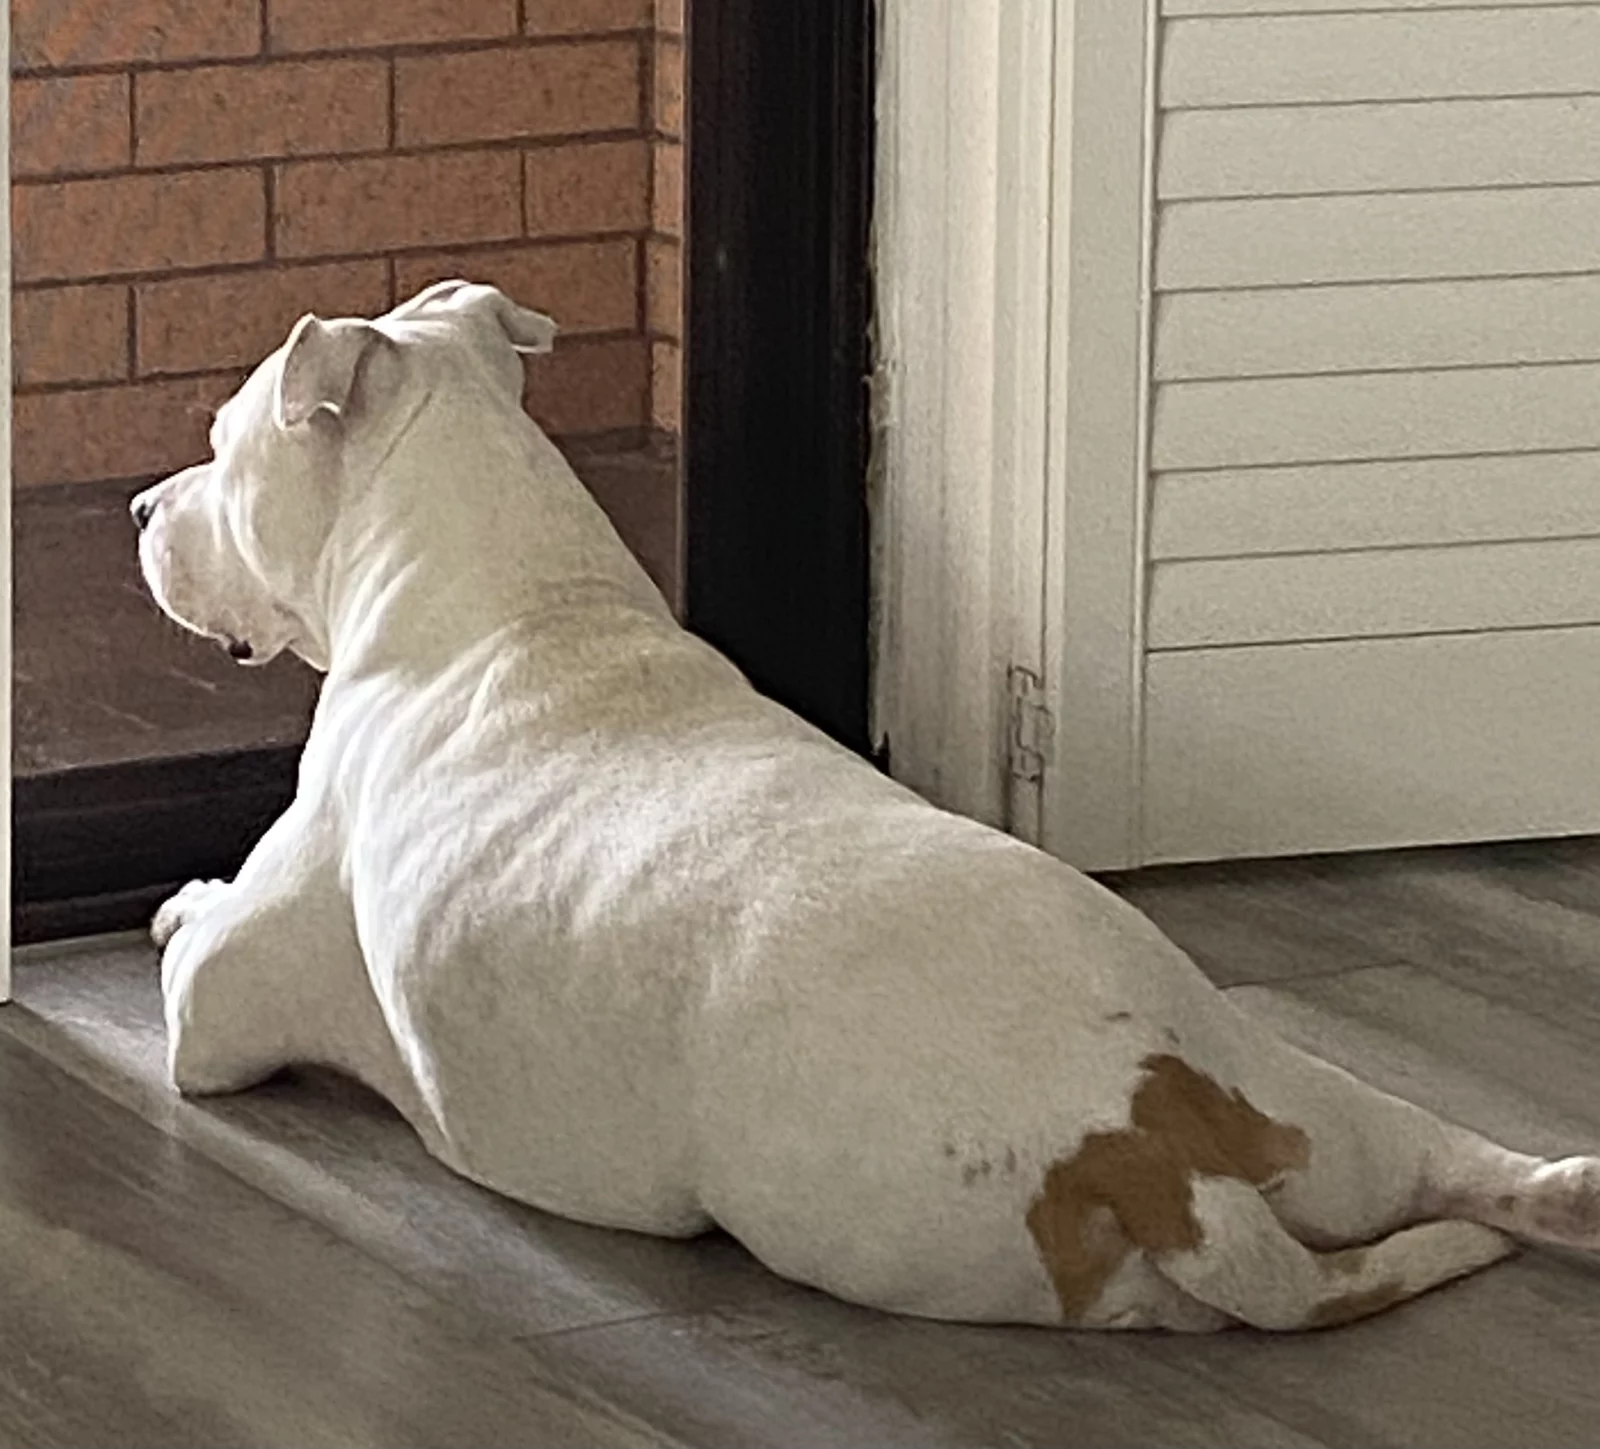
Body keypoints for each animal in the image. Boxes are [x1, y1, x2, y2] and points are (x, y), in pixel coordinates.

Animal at [133, 280, 1600, 1332]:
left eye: (219, 446)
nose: (145, 503)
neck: (518, 594)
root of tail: (1151, 1142)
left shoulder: (219, 1015)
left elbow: (198, 952)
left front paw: (181, 896)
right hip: (1303, 1094)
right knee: (1467, 1168)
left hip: (859, 1218)